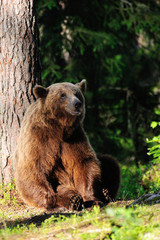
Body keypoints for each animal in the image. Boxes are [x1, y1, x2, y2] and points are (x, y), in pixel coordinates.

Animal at [14, 80, 120, 210]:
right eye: (63, 95)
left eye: (77, 93)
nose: (77, 103)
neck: (59, 127)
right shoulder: (38, 139)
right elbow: (33, 168)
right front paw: (51, 201)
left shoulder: (74, 138)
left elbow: (84, 162)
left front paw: (92, 199)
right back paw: (72, 200)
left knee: (110, 162)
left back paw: (105, 192)